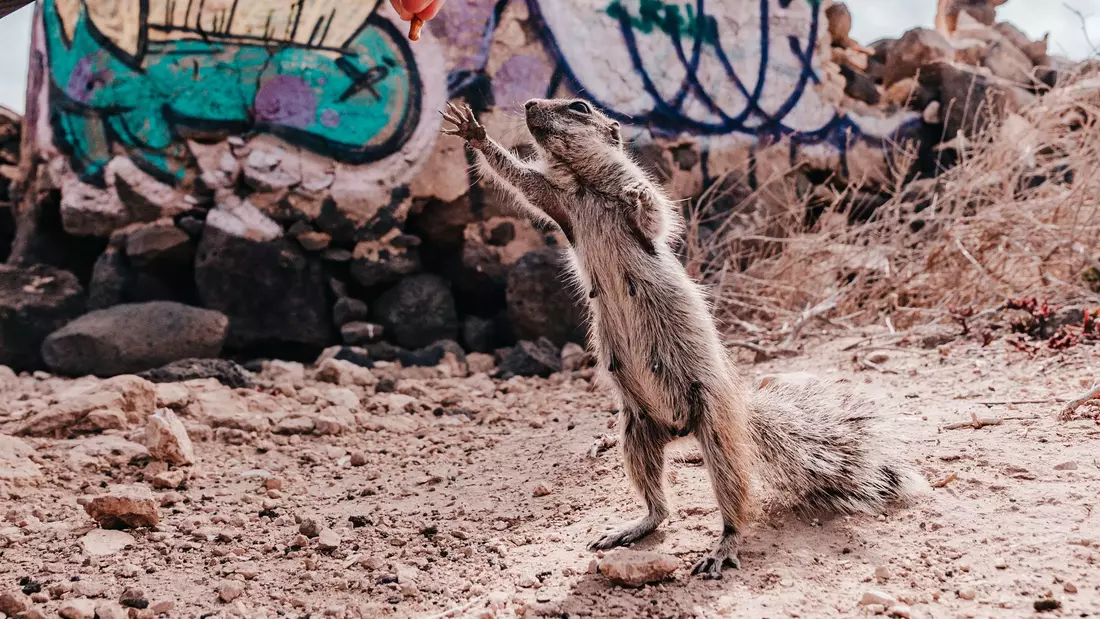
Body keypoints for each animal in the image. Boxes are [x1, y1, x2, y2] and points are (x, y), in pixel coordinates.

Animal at [437, 99, 928, 580]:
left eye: (579, 106)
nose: (529, 104)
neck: (586, 186)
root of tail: (683, 429)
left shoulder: (630, 203)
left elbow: (655, 216)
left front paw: (638, 200)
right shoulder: (556, 201)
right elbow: (519, 180)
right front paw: (472, 130)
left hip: (716, 432)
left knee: (735, 500)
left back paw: (722, 548)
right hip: (635, 433)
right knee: (659, 505)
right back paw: (631, 527)